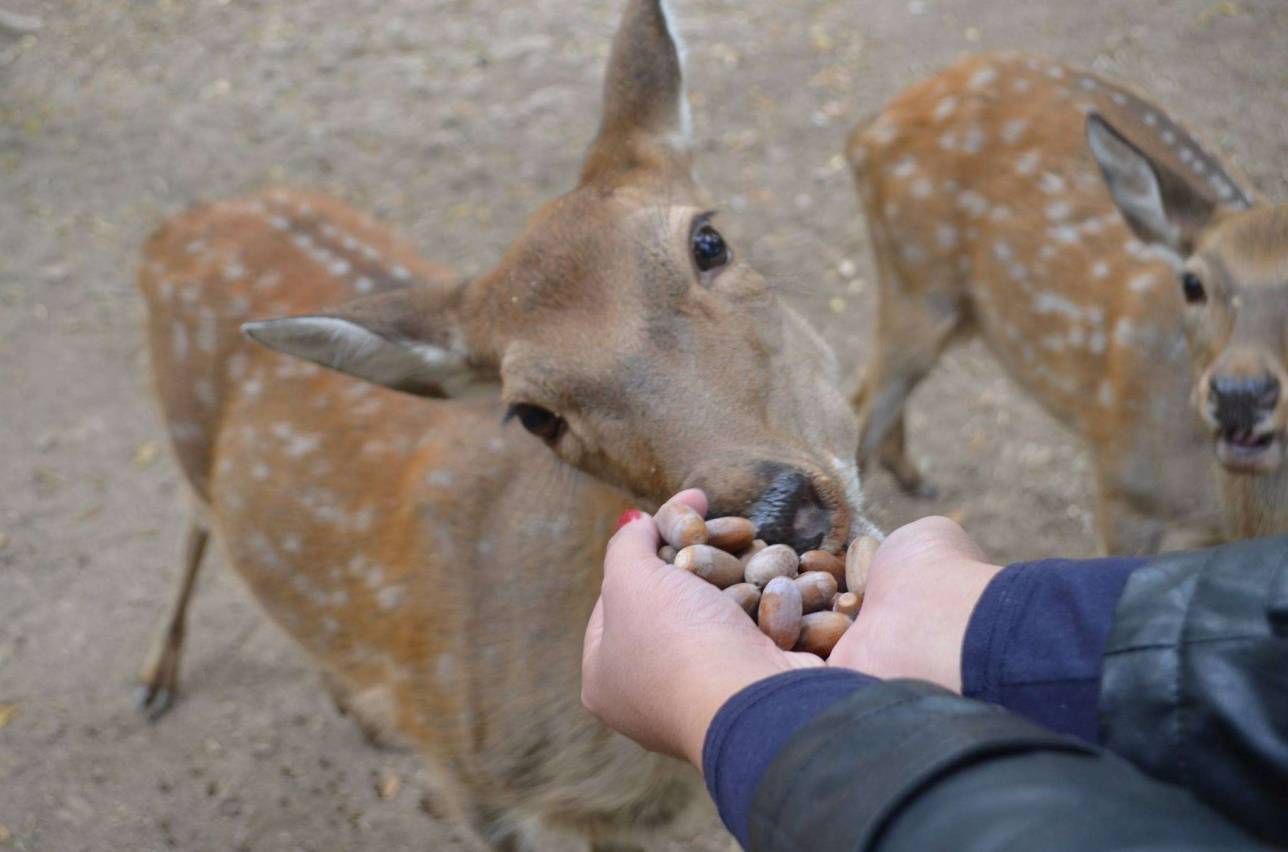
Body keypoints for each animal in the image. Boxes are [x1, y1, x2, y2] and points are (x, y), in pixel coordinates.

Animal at [133, 3, 875, 845]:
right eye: (532, 414)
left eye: (707, 241)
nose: (783, 507)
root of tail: (171, 225)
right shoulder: (472, 782)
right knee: (198, 521)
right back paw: (162, 680)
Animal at [844, 53, 1288, 554]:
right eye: (1192, 283)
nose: (1240, 394)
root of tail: (867, 130)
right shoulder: (1124, 483)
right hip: (918, 281)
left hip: (955, 308)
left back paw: (912, 477)